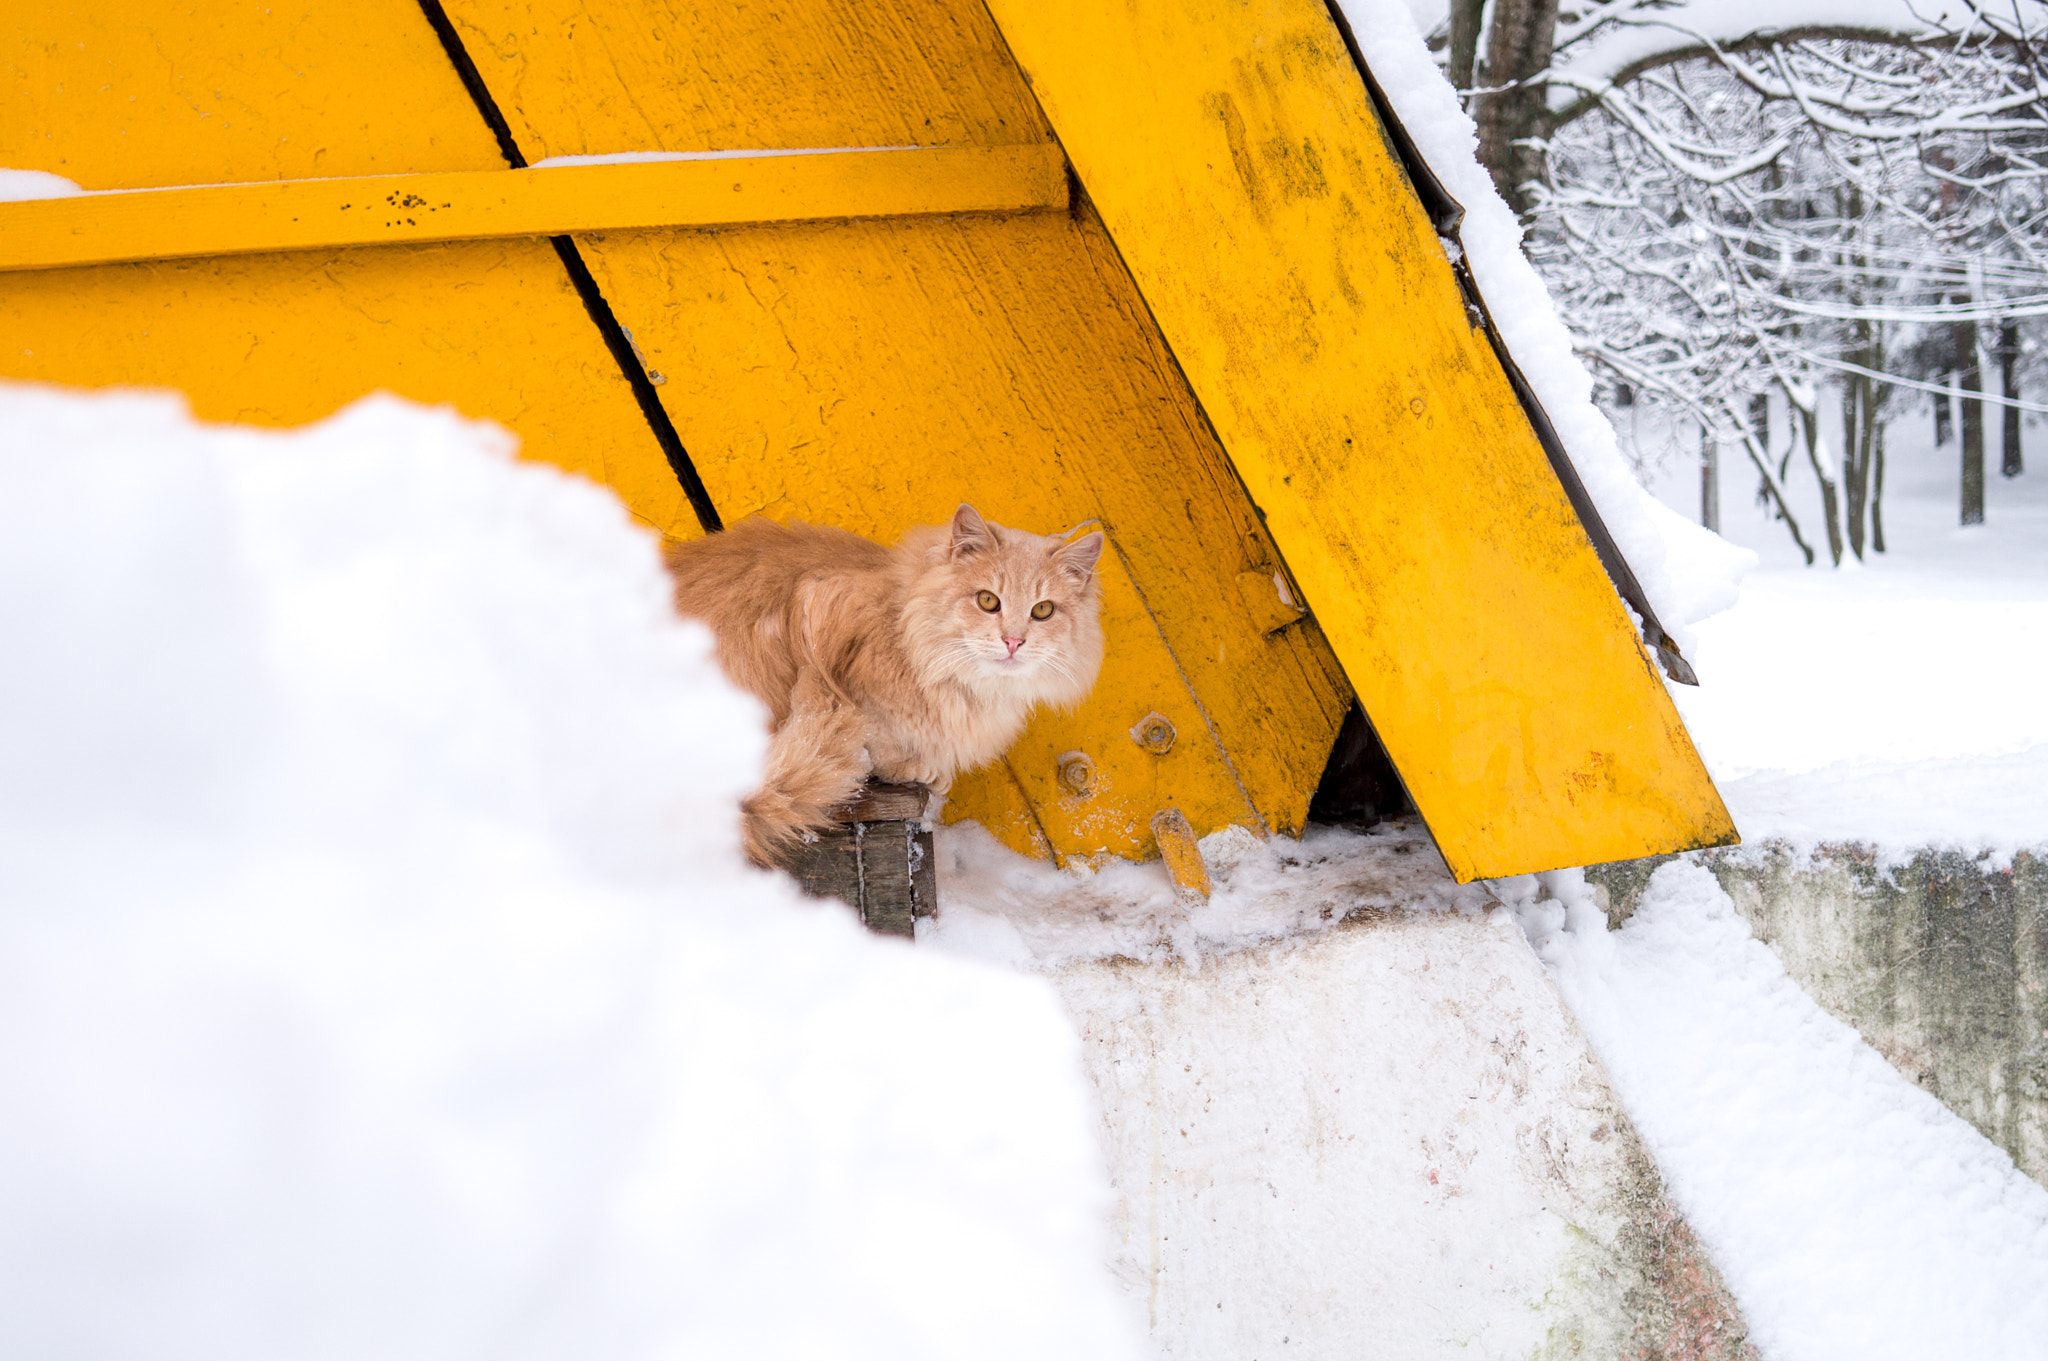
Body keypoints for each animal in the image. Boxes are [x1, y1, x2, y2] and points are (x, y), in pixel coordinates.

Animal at [667, 503, 1105, 863]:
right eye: (987, 601)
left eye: (1043, 610)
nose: (1013, 641)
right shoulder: (825, 611)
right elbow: (878, 731)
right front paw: (914, 768)